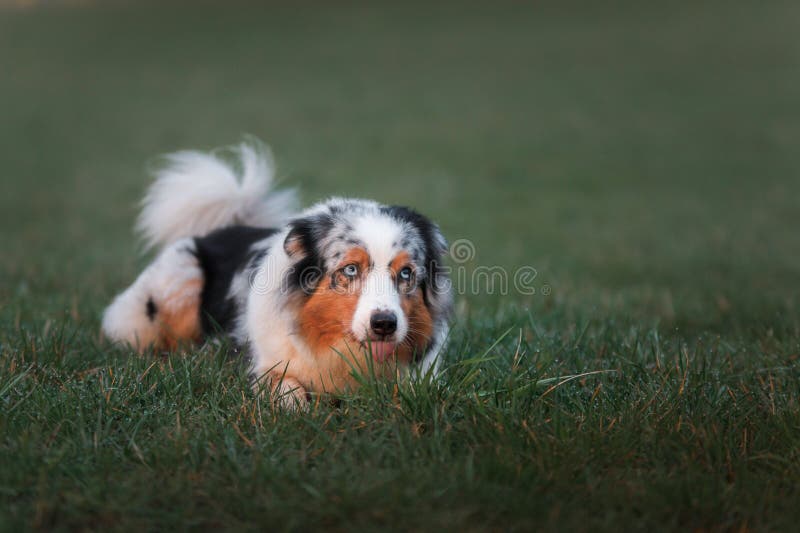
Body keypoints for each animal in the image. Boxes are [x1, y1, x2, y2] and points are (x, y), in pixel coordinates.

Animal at [101, 139, 450, 406]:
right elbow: (288, 390)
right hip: (177, 281)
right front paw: (301, 412)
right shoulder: (268, 366)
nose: (384, 325)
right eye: (350, 269)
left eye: (405, 273)